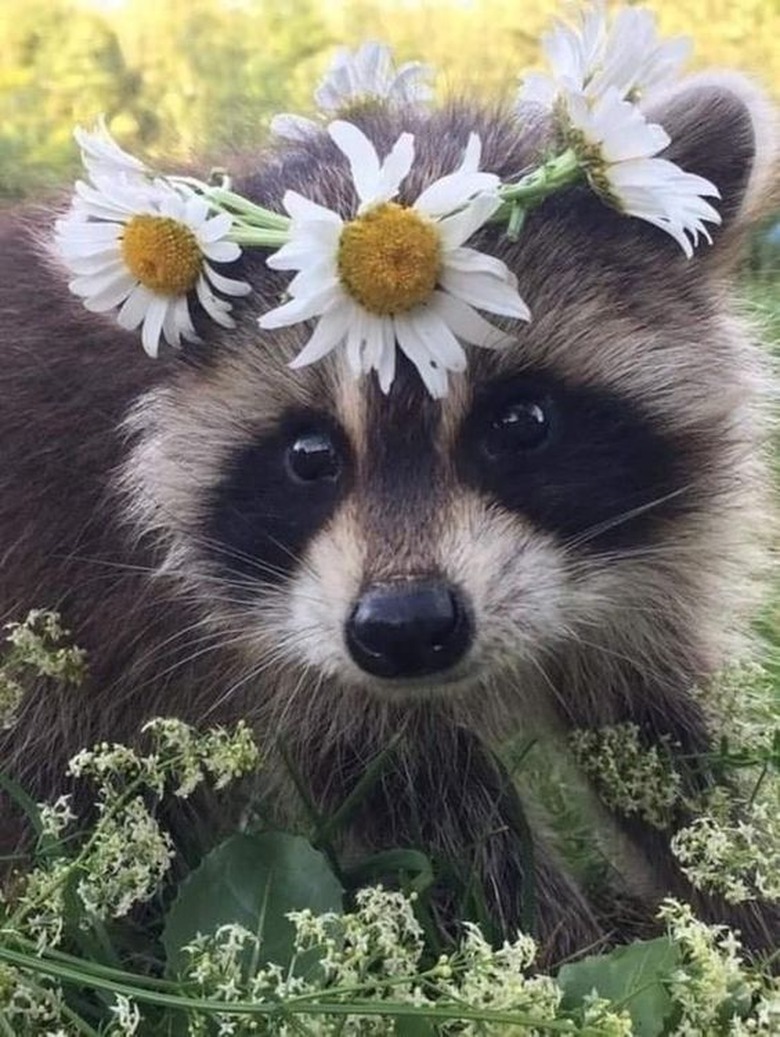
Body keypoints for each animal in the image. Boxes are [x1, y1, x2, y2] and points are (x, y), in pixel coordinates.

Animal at [1, 73, 780, 962]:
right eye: (309, 454)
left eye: (521, 422)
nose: (405, 628)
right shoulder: (265, 646)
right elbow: (434, 814)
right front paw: (551, 961)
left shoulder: (644, 571)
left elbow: (656, 742)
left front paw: (736, 904)